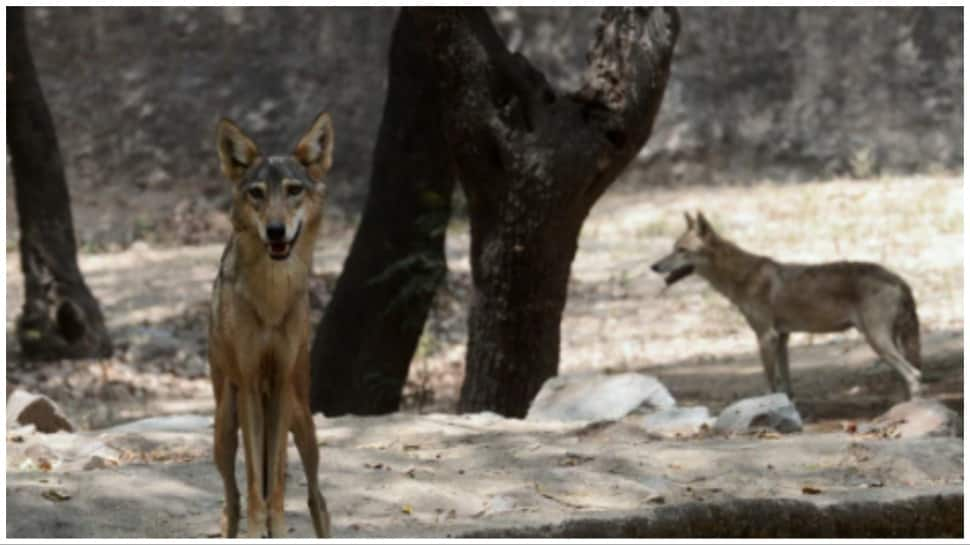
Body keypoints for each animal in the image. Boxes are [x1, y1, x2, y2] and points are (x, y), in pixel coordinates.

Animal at [208, 110, 332, 536]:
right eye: (257, 194)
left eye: (293, 190)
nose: (276, 230)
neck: (272, 298)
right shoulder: (248, 384)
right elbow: (253, 482)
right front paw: (257, 528)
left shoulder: (278, 384)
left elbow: (275, 478)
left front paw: (275, 527)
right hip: (223, 428)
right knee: (231, 500)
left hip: (303, 421)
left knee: (316, 499)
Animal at [652, 212, 924, 400]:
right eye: (672, 248)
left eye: (681, 250)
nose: (653, 266)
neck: (742, 276)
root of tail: (899, 279)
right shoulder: (782, 338)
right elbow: (786, 385)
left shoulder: (766, 337)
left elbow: (770, 382)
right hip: (888, 342)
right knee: (911, 377)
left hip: (877, 341)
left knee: (914, 375)